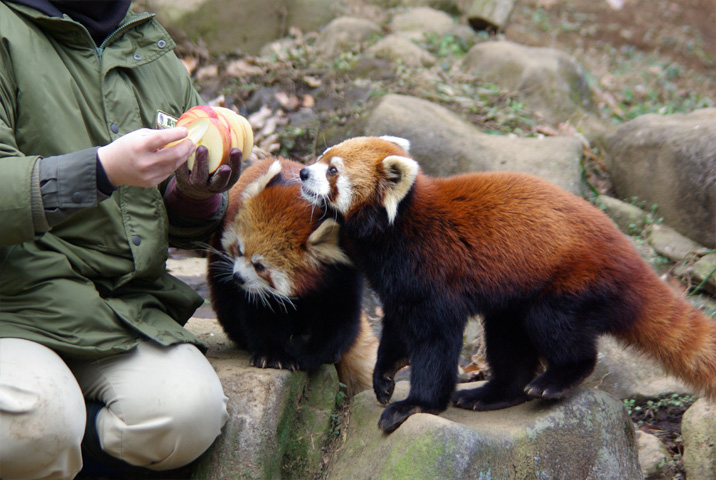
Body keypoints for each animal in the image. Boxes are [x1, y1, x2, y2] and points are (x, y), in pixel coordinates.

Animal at [206, 158, 378, 398]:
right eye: (239, 250)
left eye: (260, 266)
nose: (237, 277)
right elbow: (260, 313)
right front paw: (273, 355)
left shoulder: (344, 273)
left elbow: (338, 319)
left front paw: (306, 353)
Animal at [298, 134, 716, 432]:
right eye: (322, 156)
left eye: (333, 170)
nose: (302, 172)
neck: (395, 228)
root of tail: (631, 257)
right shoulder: (398, 283)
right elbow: (397, 328)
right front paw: (384, 377)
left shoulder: (434, 272)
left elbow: (436, 342)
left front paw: (415, 404)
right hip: (515, 299)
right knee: (508, 341)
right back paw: (492, 394)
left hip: (571, 283)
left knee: (559, 329)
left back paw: (557, 379)